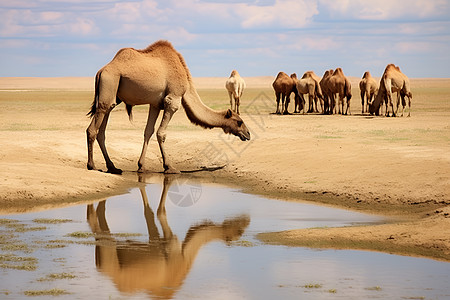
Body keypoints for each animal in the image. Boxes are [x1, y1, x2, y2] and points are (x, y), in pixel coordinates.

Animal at [86, 41, 251, 175]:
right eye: (239, 121)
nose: (248, 134)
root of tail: (100, 72)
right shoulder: (173, 99)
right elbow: (161, 133)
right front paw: (169, 167)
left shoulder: (155, 104)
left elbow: (148, 131)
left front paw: (141, 166)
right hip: (110, 82)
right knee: (92, 129)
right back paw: (92, 166)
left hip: (113, 96)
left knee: (102, 129)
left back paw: (113, 167)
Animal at [87, 175, 250, 298]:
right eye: (238, 231)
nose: (247, 220)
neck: (184, 258)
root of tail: (99, 266)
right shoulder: (170, 245)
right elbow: (160, 213)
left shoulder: (159, 243)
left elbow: (150, 216)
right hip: (109, 252)